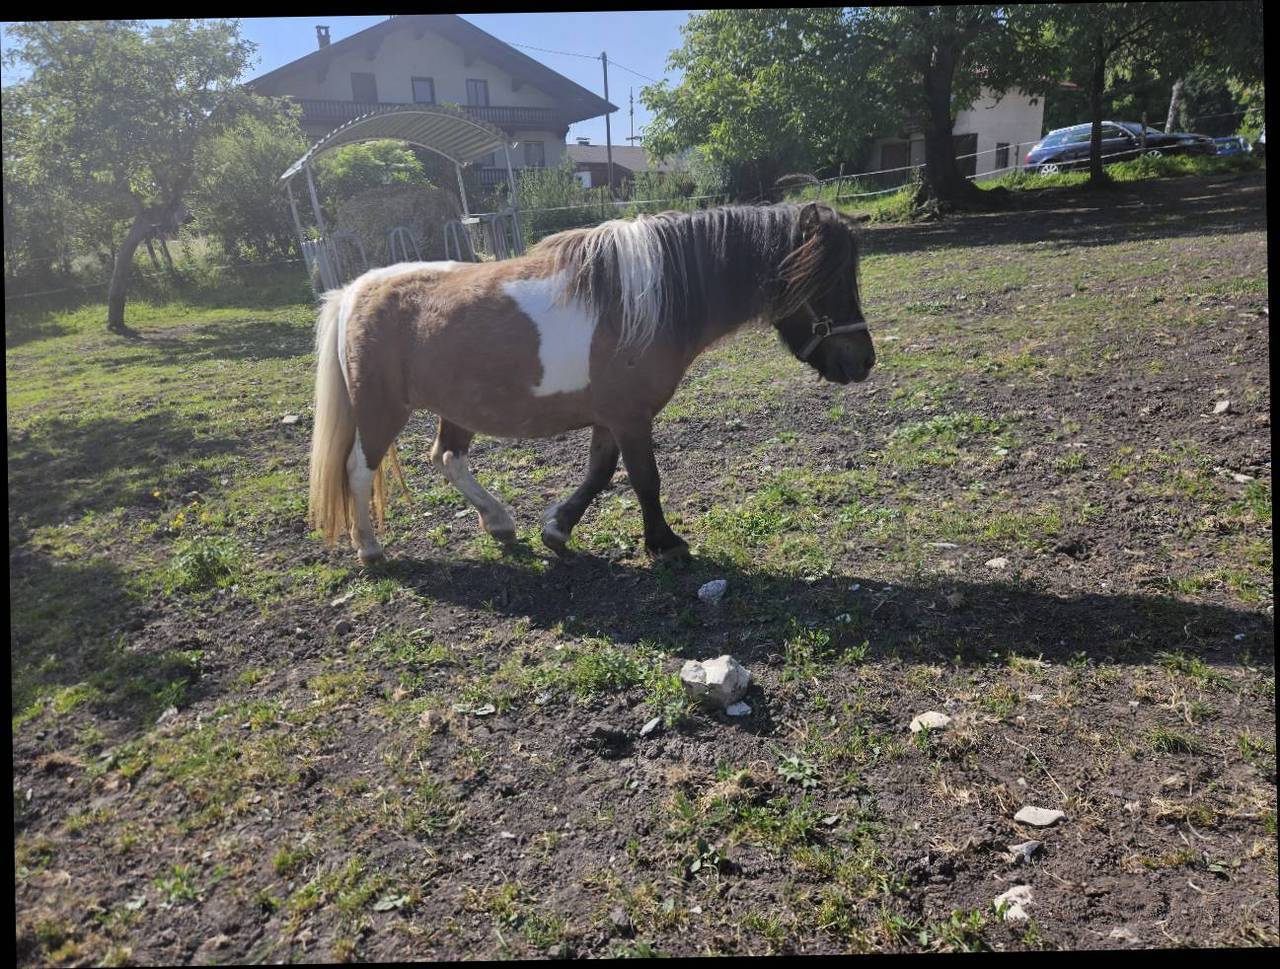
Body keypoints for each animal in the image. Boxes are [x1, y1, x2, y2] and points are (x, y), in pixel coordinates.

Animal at [304, 200, 875, 563]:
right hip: (381, 411)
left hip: (455, 409)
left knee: (447, 458)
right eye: (824, 282)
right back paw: (370, 549)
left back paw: (499, 522)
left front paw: (557, 529)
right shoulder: (630, 417)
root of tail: (355, 290)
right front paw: (664, 542)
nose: (863, 361)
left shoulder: (611, 417)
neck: (644, 300)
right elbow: (645, 479)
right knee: (358, 471)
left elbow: (600, 474)